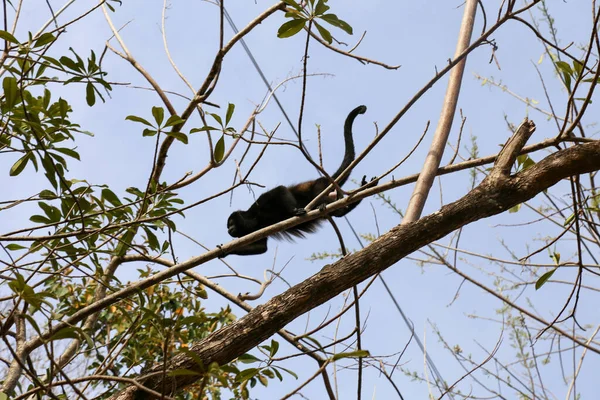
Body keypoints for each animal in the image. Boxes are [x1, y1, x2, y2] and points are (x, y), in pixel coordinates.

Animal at [225, 105, 376, 256]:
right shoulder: (255, 231)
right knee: (339, 212)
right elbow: (262, 247)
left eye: (230, 223)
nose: (228, 230)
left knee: (318, 192)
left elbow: (280, 190)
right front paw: (223, 251)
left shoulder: (259, 203)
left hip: (322, 183)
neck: (253, 219)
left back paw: (323, 204)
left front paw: (294, 212)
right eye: (228, 226)